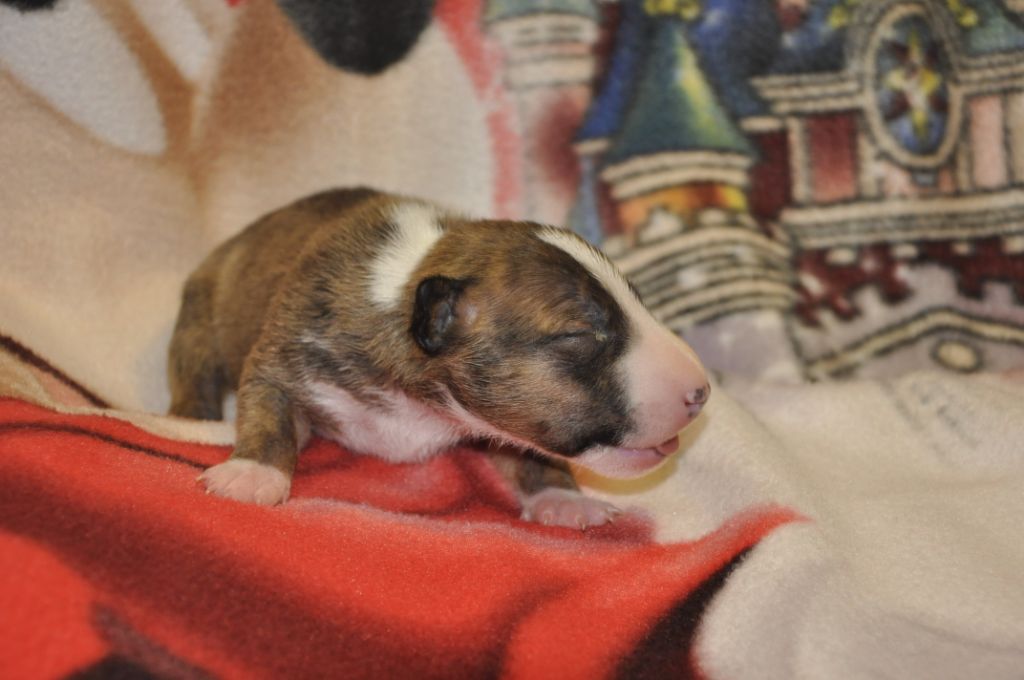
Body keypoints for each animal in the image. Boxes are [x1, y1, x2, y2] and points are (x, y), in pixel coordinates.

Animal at [168, 188, 710, 529]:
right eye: (580, 333)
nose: (701, 392)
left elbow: (531, 454)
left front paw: (562, 498)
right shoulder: (285, 353)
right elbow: (270, 410)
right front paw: (252, 474)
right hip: (200, 312)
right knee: (192, 372)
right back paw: (189, 419)